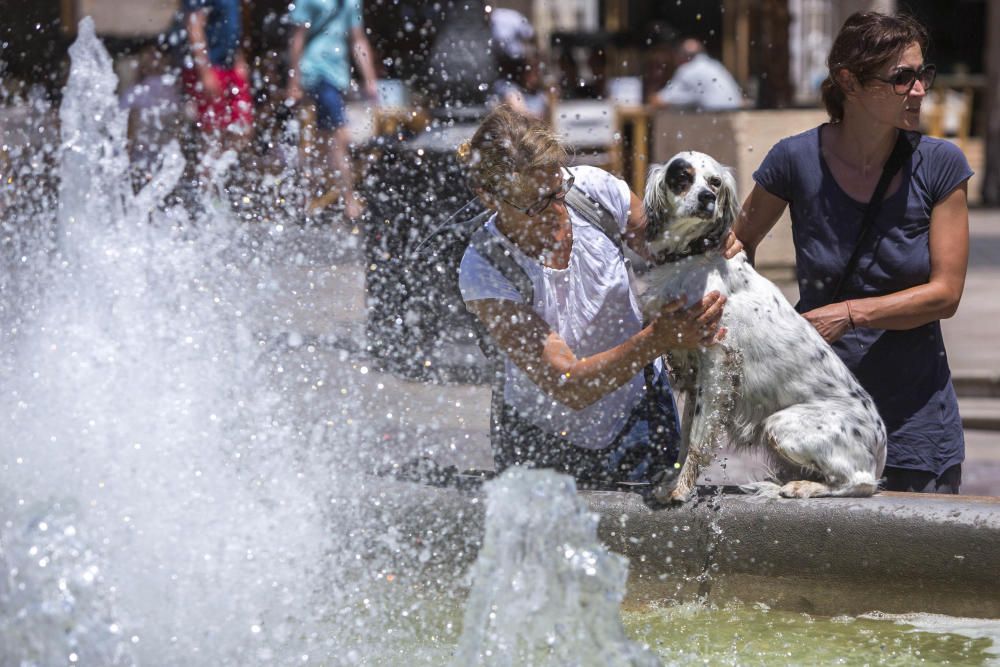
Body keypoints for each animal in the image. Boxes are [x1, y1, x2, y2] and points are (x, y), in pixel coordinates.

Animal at [636, 151, 888, 504]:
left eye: (715, 182)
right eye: (682, 177)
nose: (707, 197)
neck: (691, 256)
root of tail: (881, 446)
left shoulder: (717, 360)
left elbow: (698, 434)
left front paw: (681, 489)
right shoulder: (697, 369)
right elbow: (686, 435)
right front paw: (672, 480)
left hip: (782, 424)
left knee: (860, 483)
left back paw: (800, 487)